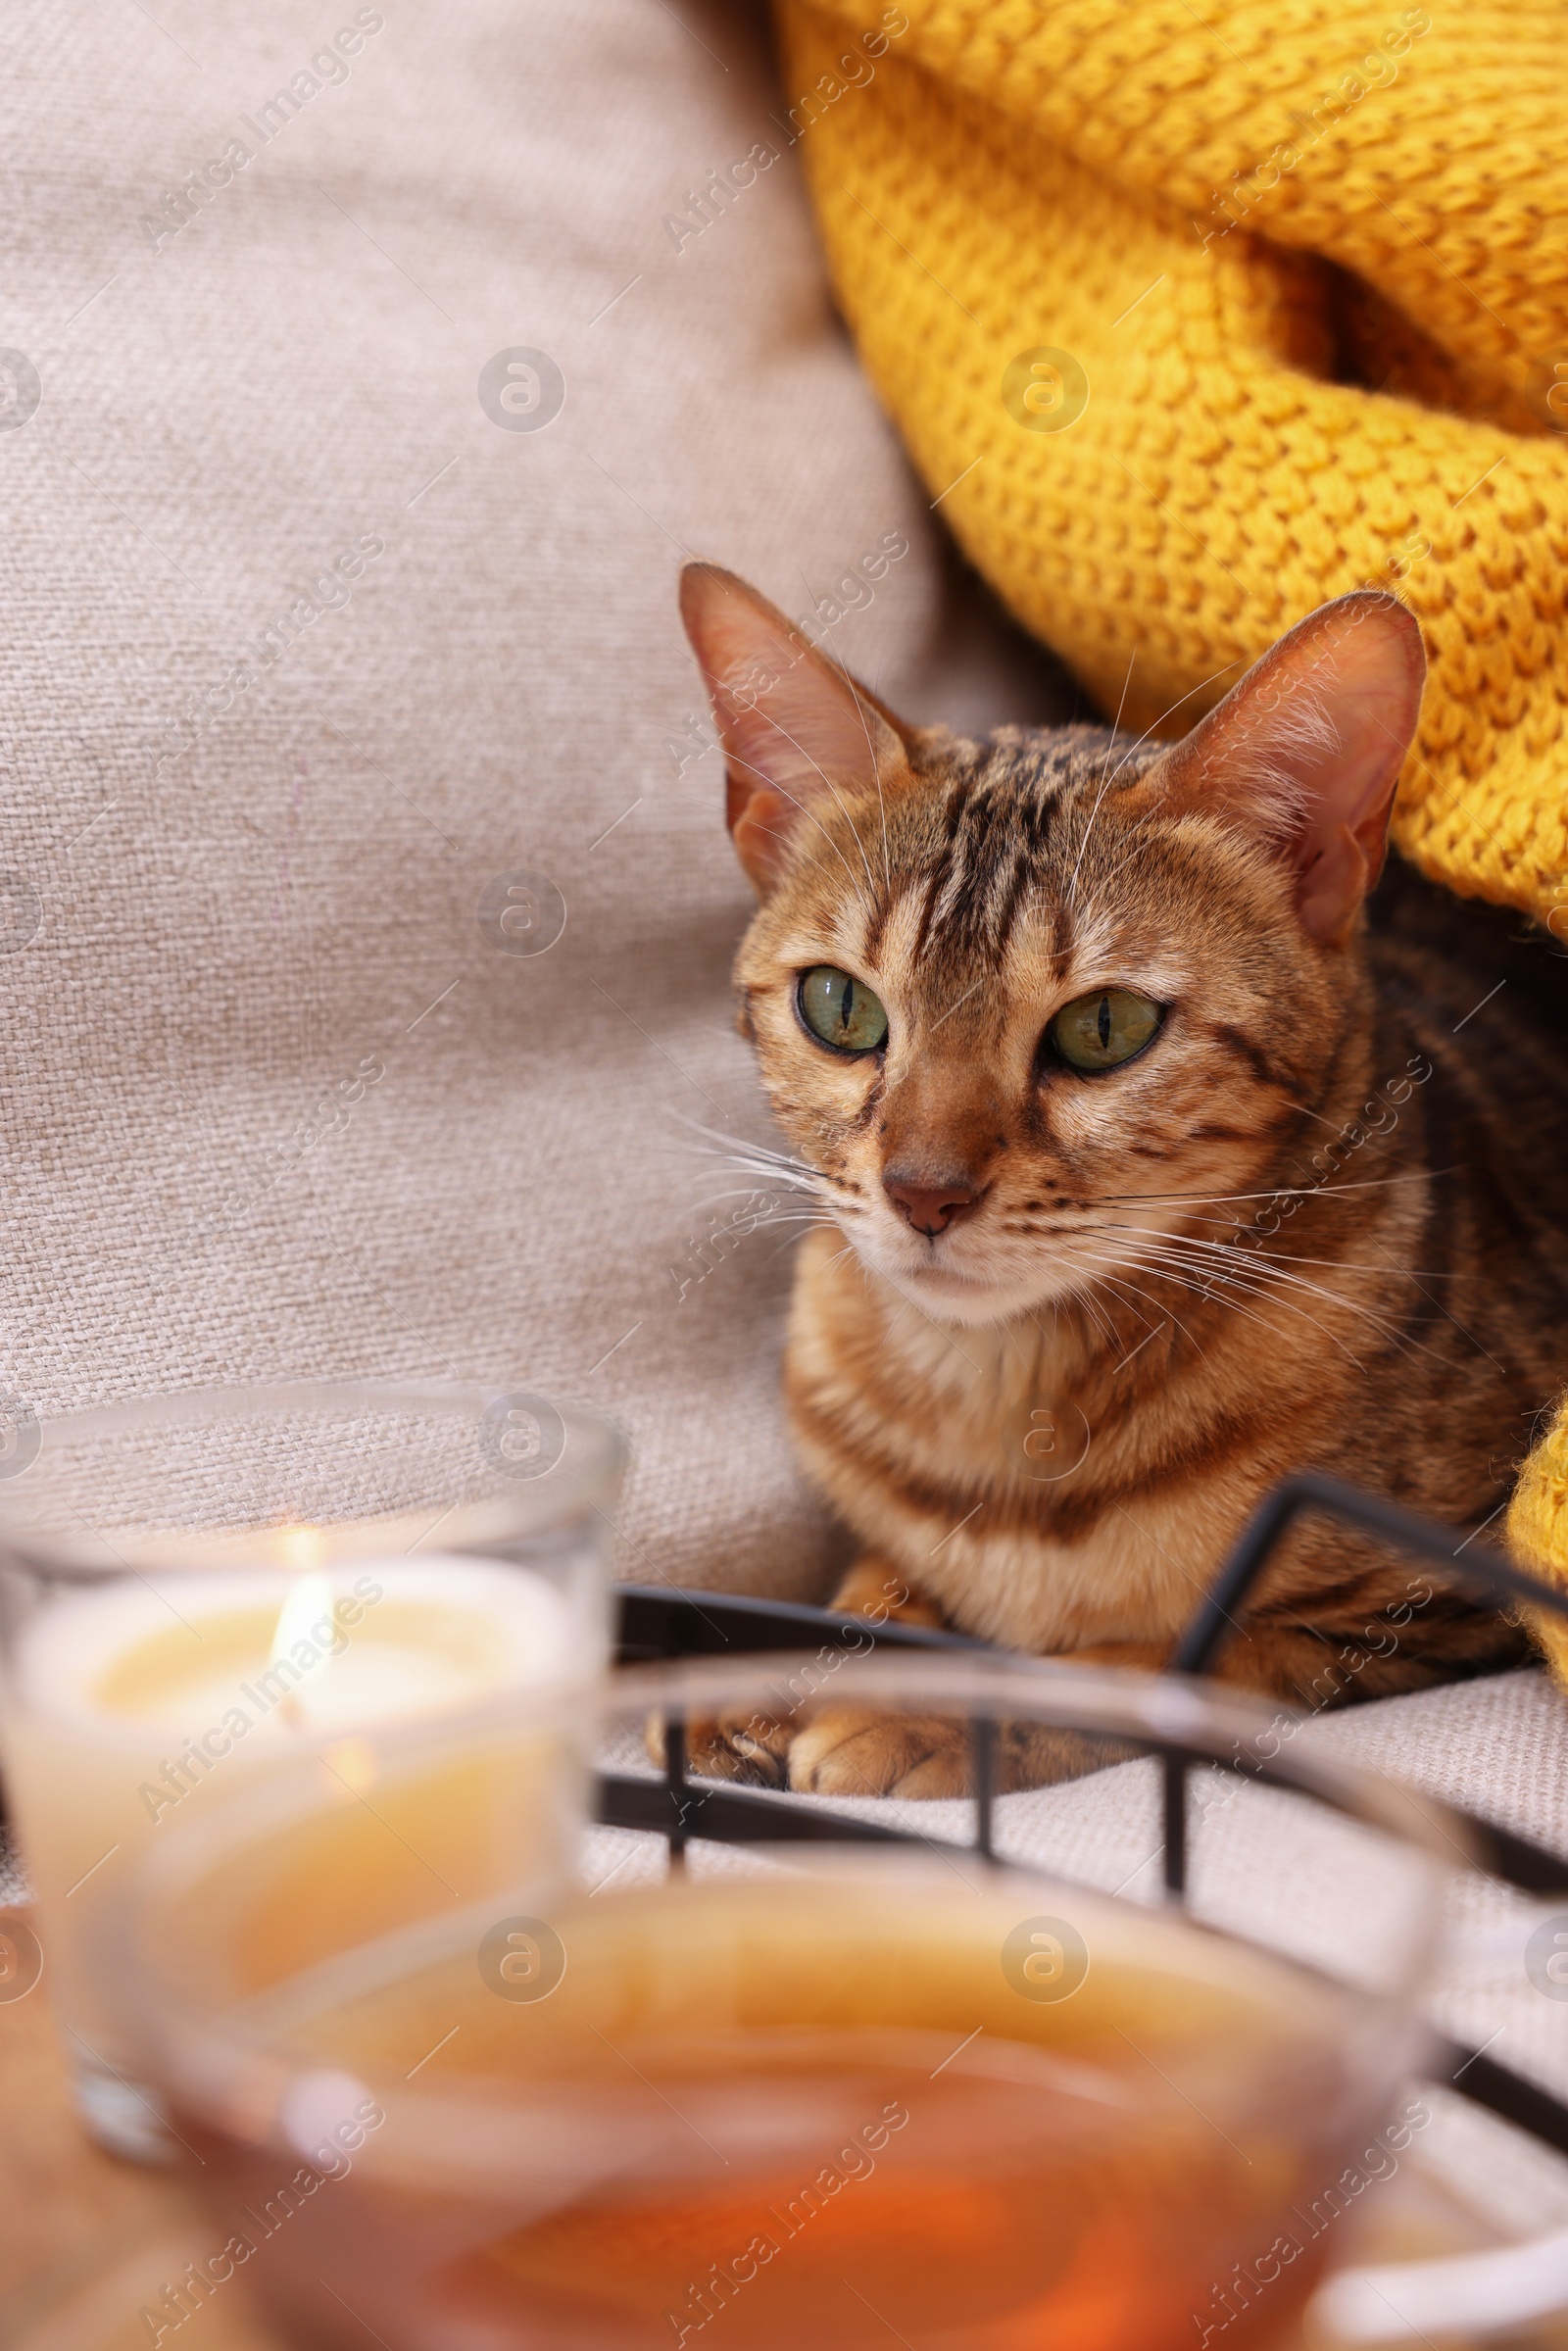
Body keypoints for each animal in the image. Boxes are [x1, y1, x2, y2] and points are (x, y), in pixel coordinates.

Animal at [676, 568, 1568, 1795]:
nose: (923, 1190)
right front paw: (781, 1672)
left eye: (1104, 1028)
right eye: (839, 1006)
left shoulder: (1432, 1602)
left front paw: (917, 1714)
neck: (998, 1413)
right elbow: (880, 1571)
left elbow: (1145, 1665)